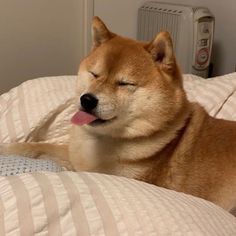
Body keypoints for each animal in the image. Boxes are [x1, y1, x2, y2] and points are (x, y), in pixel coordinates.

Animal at [1, 16, 236, 212]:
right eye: (94, 74)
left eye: (124, 83)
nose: (86, 99)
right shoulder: (73, 155)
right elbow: (36, 146)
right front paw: (9, 148)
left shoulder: (111, 176)